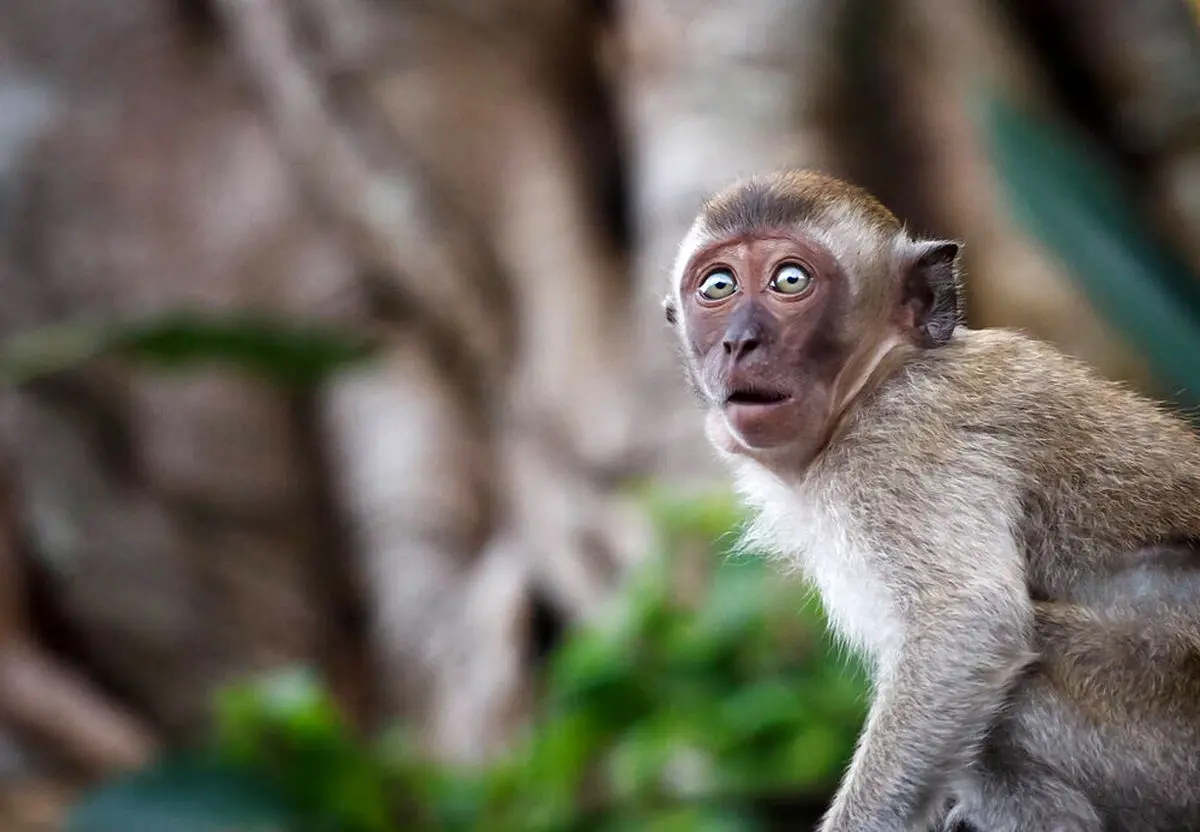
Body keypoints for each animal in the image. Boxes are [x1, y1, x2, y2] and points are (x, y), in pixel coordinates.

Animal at [662, 170, 1200, 830]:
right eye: (718, 286)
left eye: (790, 280)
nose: (739, 341)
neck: (875, 381)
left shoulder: (902, 445)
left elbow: (966, 623)